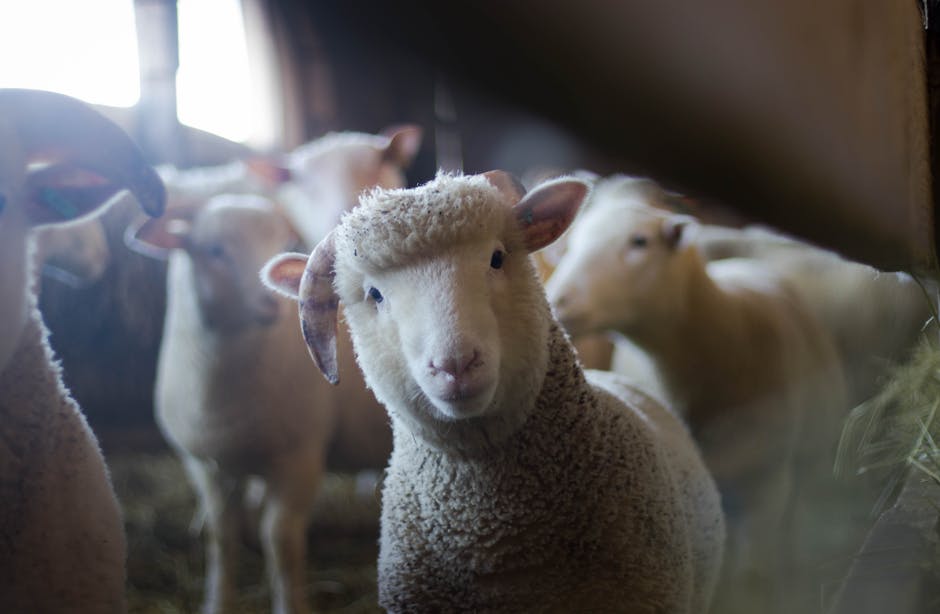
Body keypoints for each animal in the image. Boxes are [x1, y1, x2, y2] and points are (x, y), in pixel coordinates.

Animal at [129, 194, 390, 614]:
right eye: (214, 250)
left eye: (282, 241)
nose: (271, 304)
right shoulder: (205, 465)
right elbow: (220, 535)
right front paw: (217, 602)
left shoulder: (301, 458)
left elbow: (279, 539)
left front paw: (291, 605)